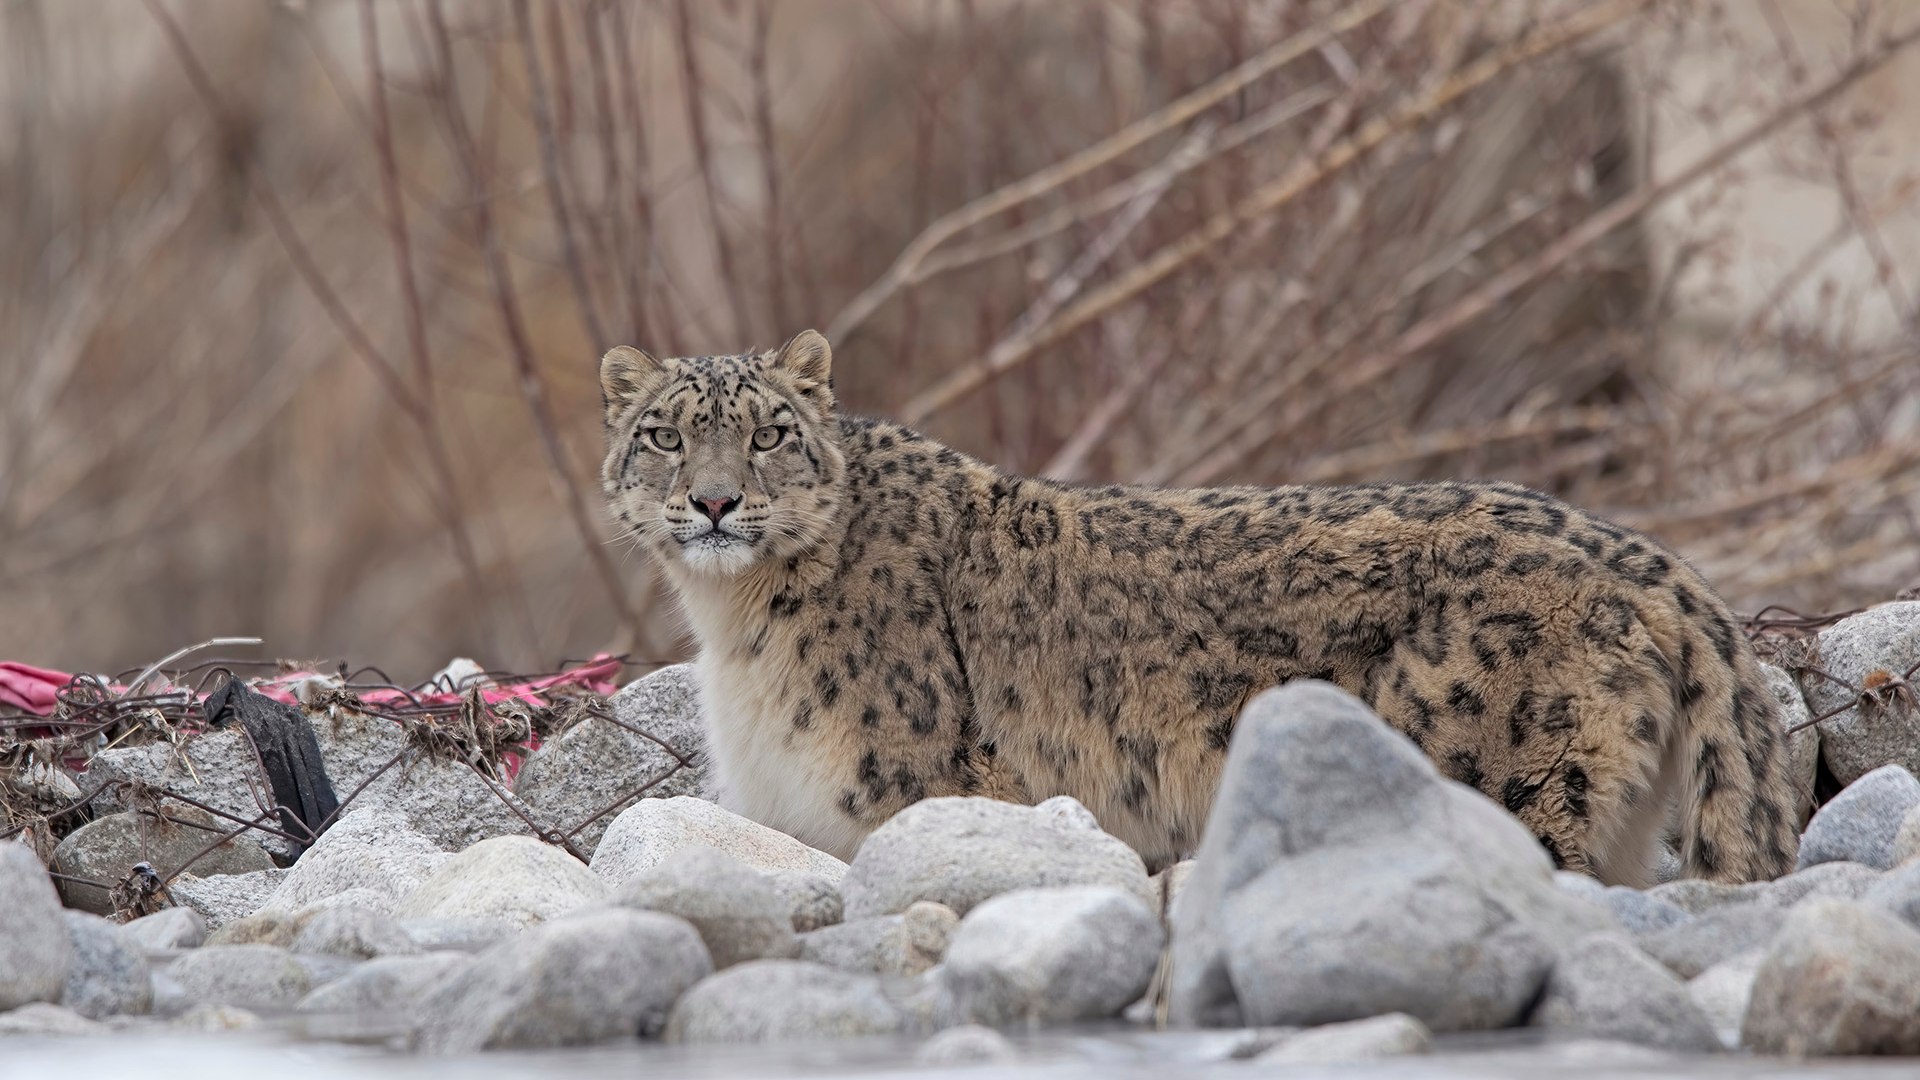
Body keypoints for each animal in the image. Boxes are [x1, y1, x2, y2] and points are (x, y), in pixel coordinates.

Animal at [598, 329, 1799, 886]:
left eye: (767, 432)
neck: (734, 627)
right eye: (663, 433)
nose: (715, 501)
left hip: (1506, 779)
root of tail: (1648, 557)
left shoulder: (910, 795)